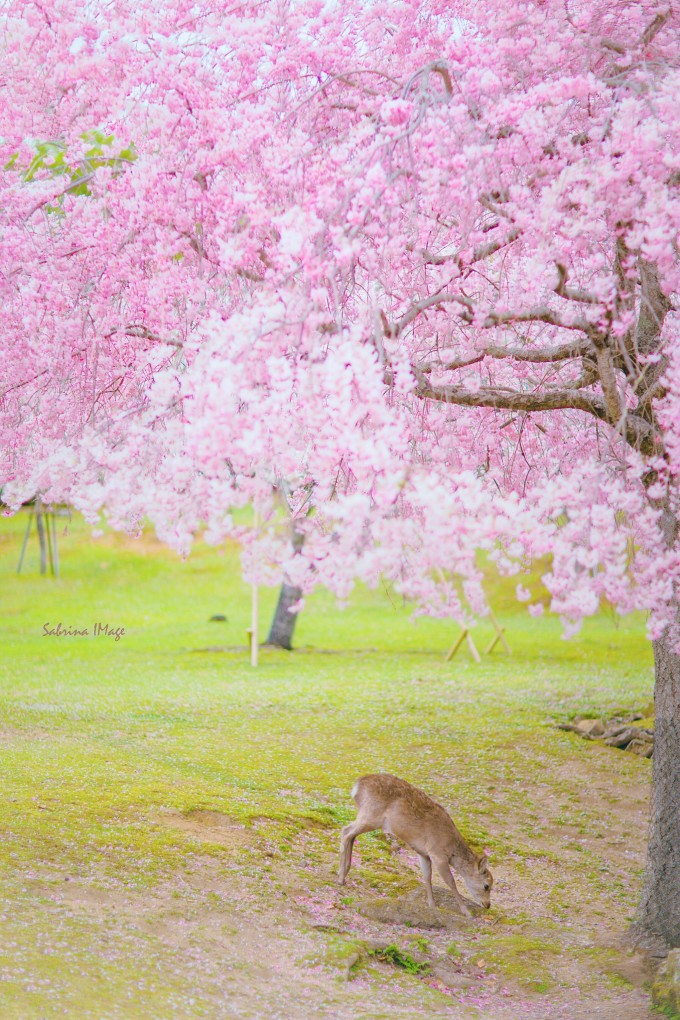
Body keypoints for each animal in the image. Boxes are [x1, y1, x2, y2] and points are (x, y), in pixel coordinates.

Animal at [338, 771, 491, 918]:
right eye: (486, 885)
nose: (488, 905)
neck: (451, 847)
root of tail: (357, 787)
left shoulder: (424, 854)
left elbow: (427, 877)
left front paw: (431, 905)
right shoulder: (437, 854)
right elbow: (451, 882)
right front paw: (466, 912)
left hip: (368, 817)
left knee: (350, 834)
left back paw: (344, 873)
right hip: (371, 815)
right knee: (346, 831)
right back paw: (340, 878)